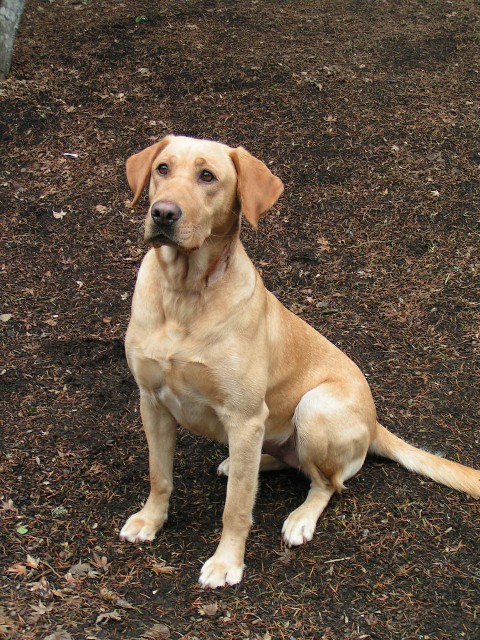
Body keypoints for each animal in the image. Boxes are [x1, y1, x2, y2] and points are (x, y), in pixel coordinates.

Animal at [119, 135, 480, 592]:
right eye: (162, 168)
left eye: (208, 176)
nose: (163, 213)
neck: (184, 293)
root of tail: (375, 422)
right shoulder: (152, 401)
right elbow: (159, 474)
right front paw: (150, 520)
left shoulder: (244, 417)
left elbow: (237, 507)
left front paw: (226, 562)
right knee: (274, 464)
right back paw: (244, 464)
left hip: (314, 407)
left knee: (327, 483)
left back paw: (301, 518)